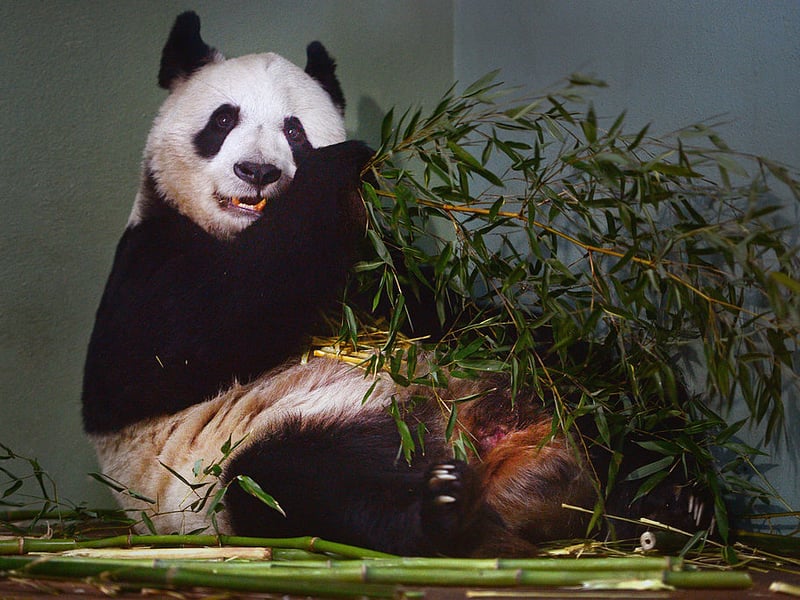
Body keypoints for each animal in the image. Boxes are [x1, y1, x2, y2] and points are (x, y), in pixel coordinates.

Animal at [82, 11, 711, 557]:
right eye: (222, 120)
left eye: (294, 130)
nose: (257, 172)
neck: (243, 233)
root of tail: (485, 445)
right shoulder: (151, 256)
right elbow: (173, 346)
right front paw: (343, 166)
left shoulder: (384, 275)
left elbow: (448, 309)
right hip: (241, 452)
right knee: (300, 486)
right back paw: (443, 514)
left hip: (530, 381)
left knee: (590, 375)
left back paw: (673, 495)